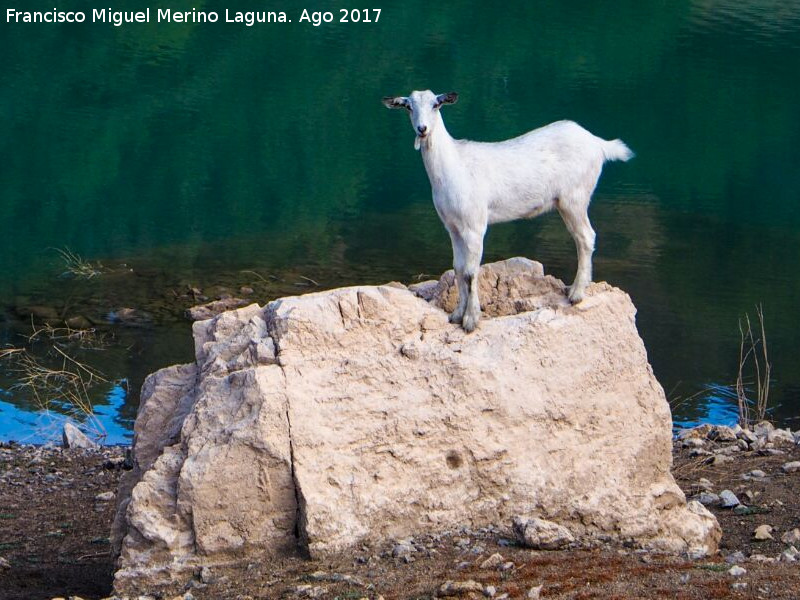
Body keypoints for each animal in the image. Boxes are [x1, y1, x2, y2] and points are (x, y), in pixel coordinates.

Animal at [384, 89, 636, 332]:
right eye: (408, 107)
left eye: (436, 105)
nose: (422, 129)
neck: (454, 166)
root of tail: (598, 143)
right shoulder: (452, 226)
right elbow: (458, 269)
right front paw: (456, 315)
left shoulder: (475, 224)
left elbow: (470, 272)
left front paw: (471, 321)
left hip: (574, 197)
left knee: (585, 237)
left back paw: (576, 294)